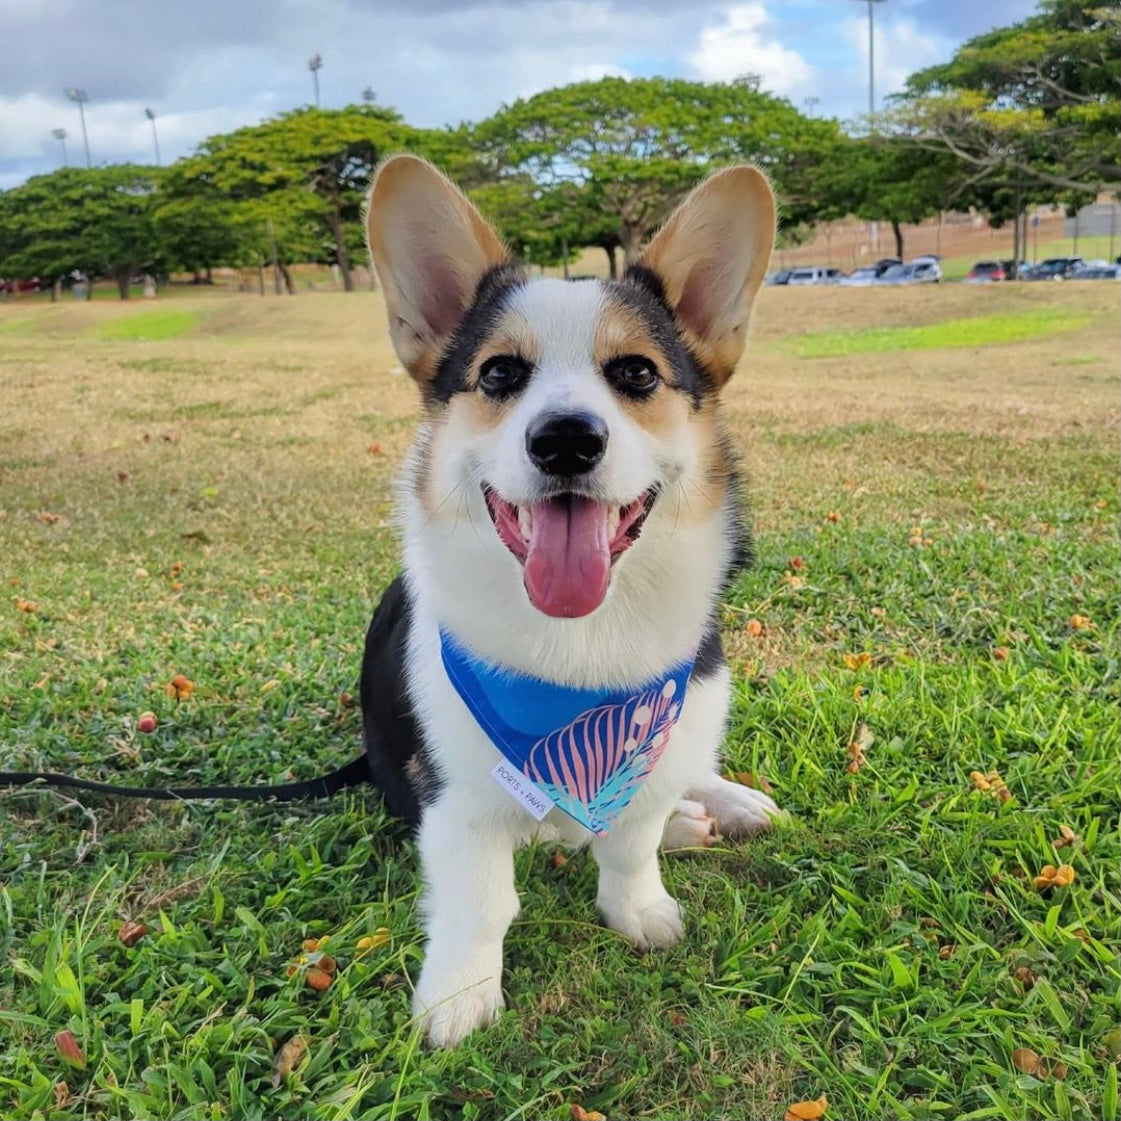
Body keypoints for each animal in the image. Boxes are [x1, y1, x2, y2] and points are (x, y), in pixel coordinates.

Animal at [360, 153, 780, 1044]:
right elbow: (480, 901)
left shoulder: (647, 740)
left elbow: (630, 846)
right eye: (497, 373)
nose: (564, 440)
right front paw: (457, 997)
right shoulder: (454, 800)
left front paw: (640, 910)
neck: (580, 652)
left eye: (636, 373)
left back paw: (719, 803)